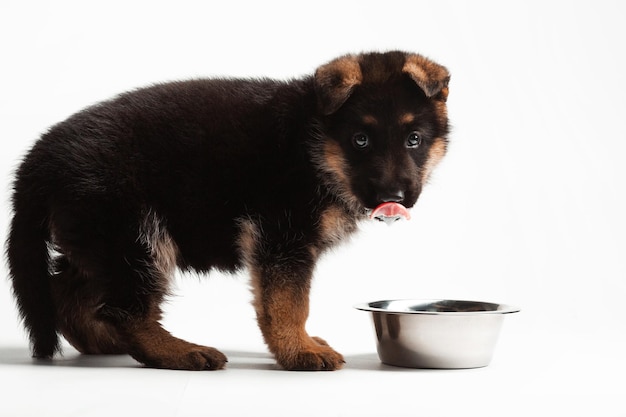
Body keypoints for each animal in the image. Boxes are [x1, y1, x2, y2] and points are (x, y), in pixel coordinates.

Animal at [6, 49, 448, 370]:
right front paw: (297, 350)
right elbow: (287, 303)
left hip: (97, 239)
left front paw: (300, 344)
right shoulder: (280, 237)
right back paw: (178, 352)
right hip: (134, 235)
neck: (315, 142)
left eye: (413, 139)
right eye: (360, 140)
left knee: (69, 289)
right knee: (124, 309)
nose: (394, 195)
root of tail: (37, 162)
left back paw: (103, 341)